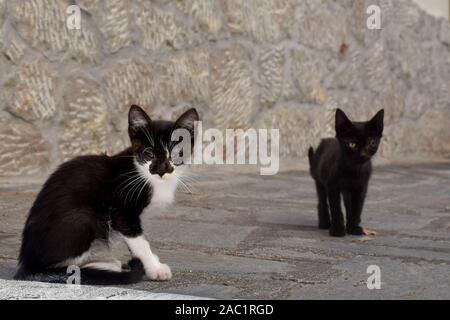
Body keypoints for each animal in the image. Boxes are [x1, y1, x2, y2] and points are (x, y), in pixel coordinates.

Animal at [14, 105, 199, 284]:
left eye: (175, 154)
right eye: (149, 154)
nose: (160, 171)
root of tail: (27, 264)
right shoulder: (122, 211)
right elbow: (140, 242)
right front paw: (155, 268)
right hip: (85, 216)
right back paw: (103, 266)